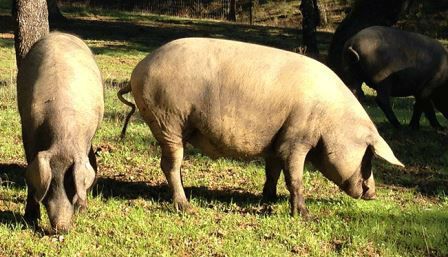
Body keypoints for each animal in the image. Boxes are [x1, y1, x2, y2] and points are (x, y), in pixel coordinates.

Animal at [17, 32, 103, 232]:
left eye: (72, 184)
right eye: (50, 185)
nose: (61, 227)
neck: (62, 136)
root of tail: (59, 33)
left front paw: (82, 209)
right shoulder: (28, 134)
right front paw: (29, 219)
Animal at [118, 37, 402, 215]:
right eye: (368, 157)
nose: (373, 193)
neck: (330, 119)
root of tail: (138, 70)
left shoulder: (277, 141)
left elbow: (272, 172)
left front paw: (269, 199)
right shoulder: (295, 141)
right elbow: (295, 178)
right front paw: (303, 215)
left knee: (173, 165)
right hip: (168, 121)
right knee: (169, 164)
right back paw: (186, 206)